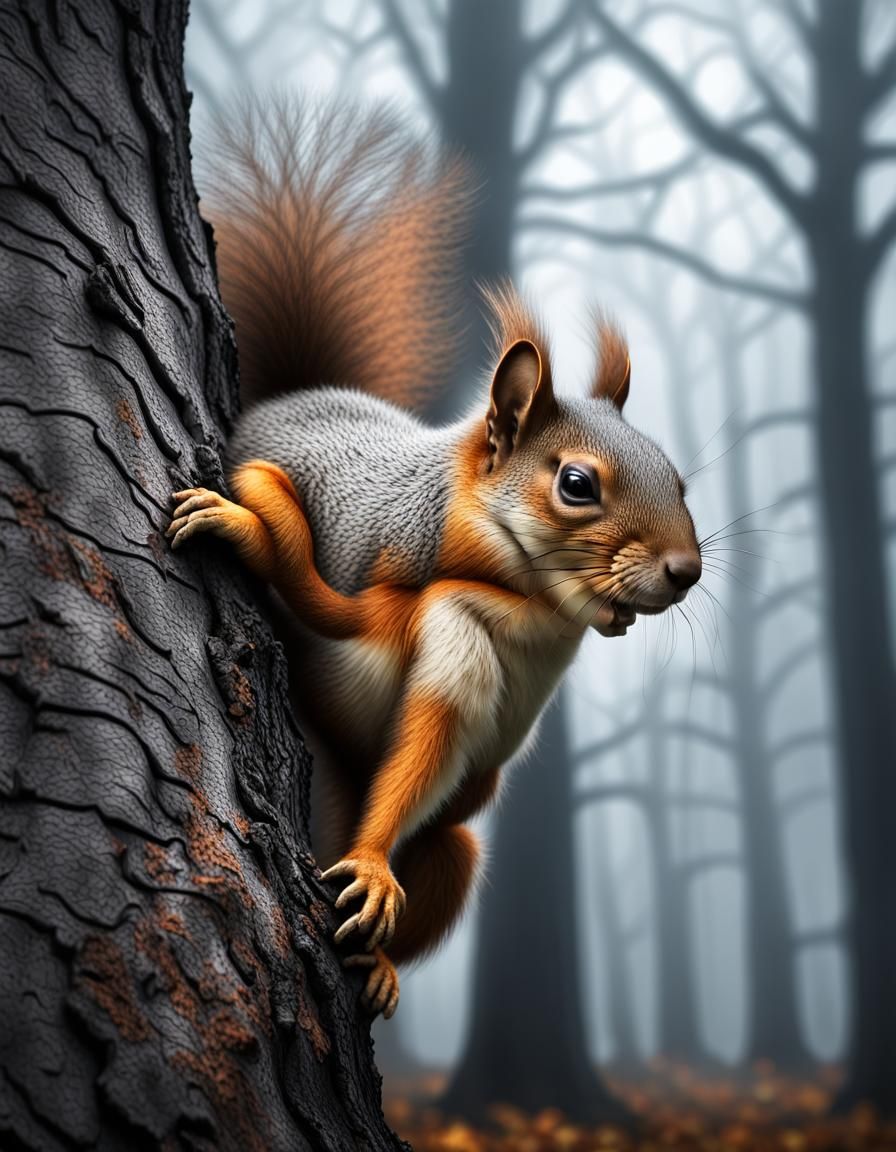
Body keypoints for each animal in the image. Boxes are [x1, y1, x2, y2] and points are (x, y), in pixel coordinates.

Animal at [168, 95, 702, 1020]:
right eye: (575, 484)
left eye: (679, 479)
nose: (686, 570)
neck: (529, 611)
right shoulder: (413, 598)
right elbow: (327, 600)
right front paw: (238, 522)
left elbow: (457, 771)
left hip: (452, 861)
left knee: (444, 856)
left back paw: (378, 963)